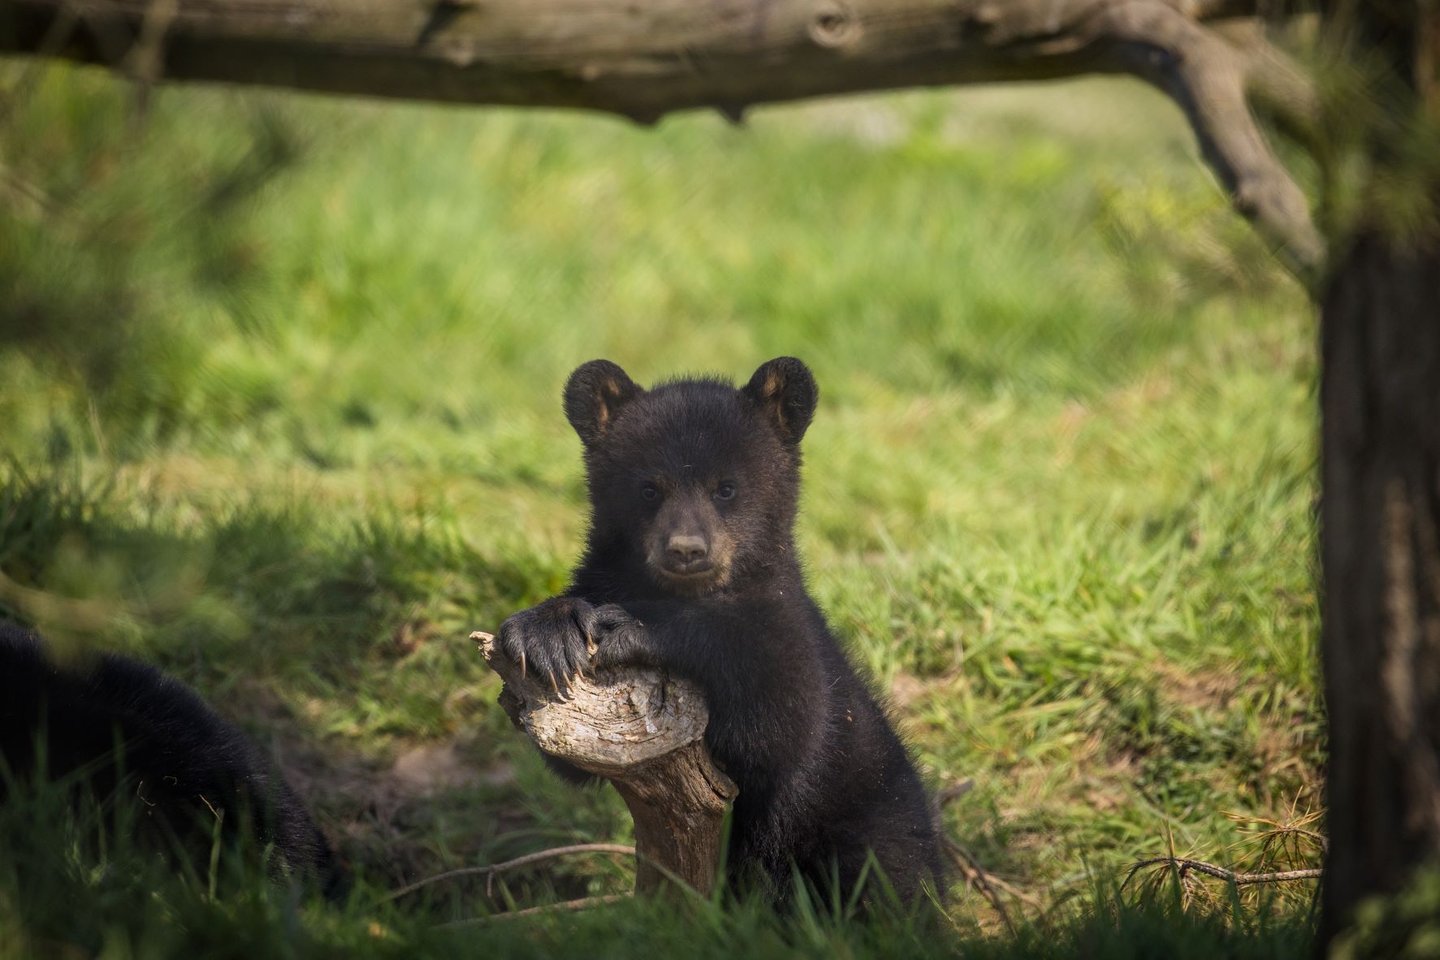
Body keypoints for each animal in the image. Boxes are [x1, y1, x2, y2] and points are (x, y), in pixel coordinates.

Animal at [498, 356, 944, 908]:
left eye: (725, 488)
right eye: (649, 488)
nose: (687, 549)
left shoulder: (791, 629)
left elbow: (786, 716)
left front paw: (632, 626)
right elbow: (570, 758)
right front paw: (547, 634)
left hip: (872, 815)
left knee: (887, 881)